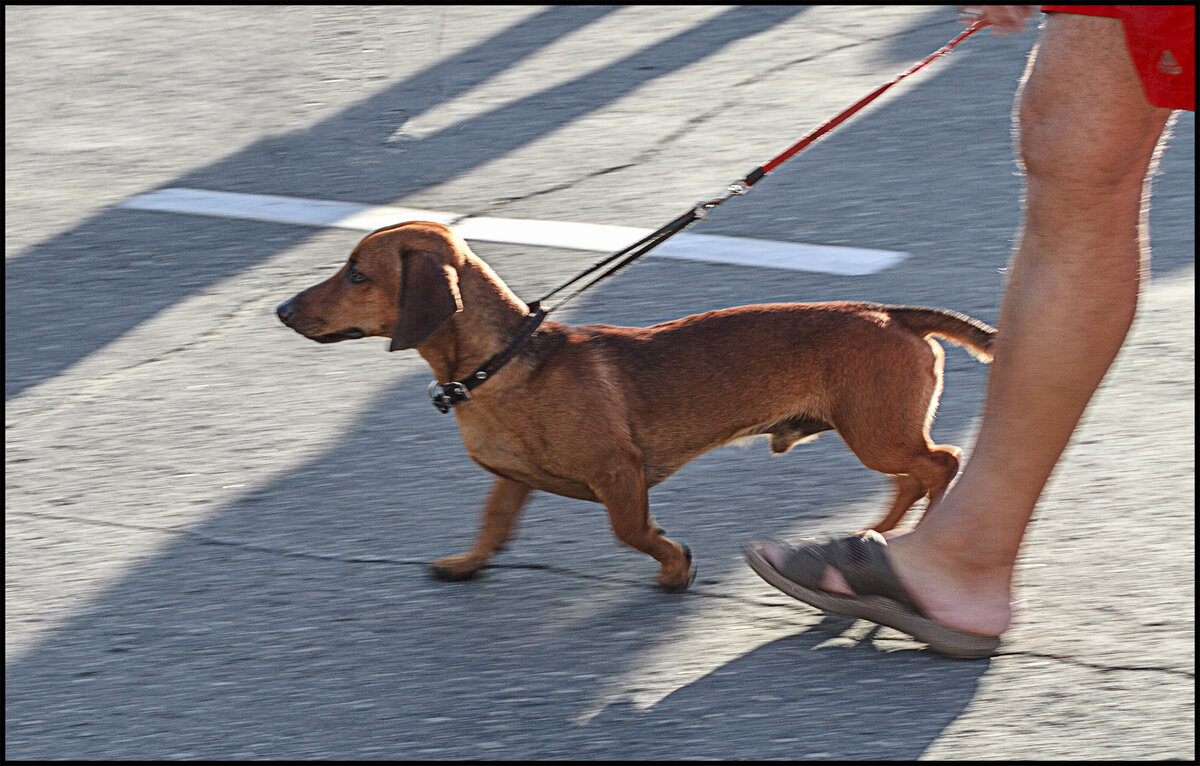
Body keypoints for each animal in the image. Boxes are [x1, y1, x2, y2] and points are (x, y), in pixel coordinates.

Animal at [278, 222, 993, 595]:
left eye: (357, 274)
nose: (282, 309)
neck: (502, 361)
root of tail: (893, 312)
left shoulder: (618, 473)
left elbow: (633, 532)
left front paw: (676, 566)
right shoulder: (510, 479)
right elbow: (493, 524)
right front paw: (468, 563)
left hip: (878, 432)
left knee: (943, 463)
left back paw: (926, 530)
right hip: (877, 432)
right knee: (911, 478)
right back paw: (883, 532)